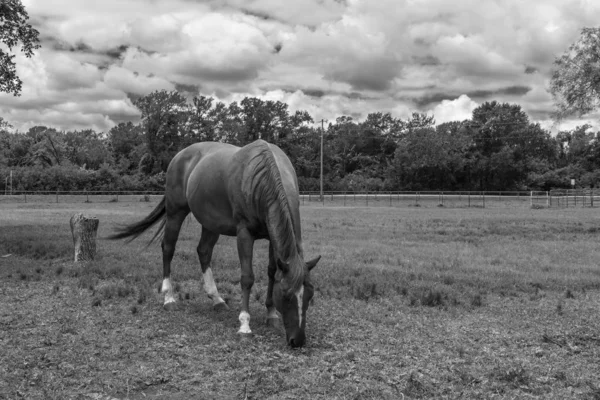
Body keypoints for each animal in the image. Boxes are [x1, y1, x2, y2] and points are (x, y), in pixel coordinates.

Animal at [109, 140, 322, 346]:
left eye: (310, 295)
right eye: (286, 295)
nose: (297, 341)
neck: (261, 175)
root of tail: (179, 156)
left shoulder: (272, 236)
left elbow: (272, 273)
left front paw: (271, 315)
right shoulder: (244, 234)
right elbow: (247, 277)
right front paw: (245, 325)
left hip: (210, 223)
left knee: (203, 251)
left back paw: (217, 299)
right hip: (175, 212)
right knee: (168, 248)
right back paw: (169, 298)